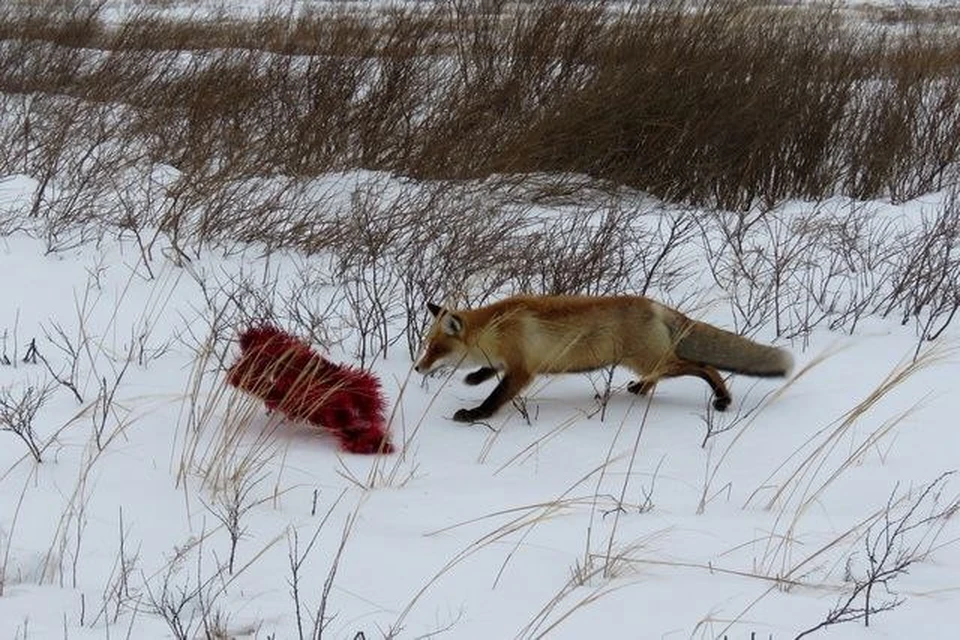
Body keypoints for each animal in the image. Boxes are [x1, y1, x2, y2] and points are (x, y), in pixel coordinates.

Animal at [414, 296, 796, 424]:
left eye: (434, 349)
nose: (417, 367)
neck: (497, 328)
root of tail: (655, 304)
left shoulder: (523, 370)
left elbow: (496, 396)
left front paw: (475, 414)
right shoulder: (509, 362)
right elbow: (489, 371)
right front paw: (473, 378)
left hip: (653, 360)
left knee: (705, 367)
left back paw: (723, 398)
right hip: (649, 363)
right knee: (663, 375)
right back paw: (639, 390)